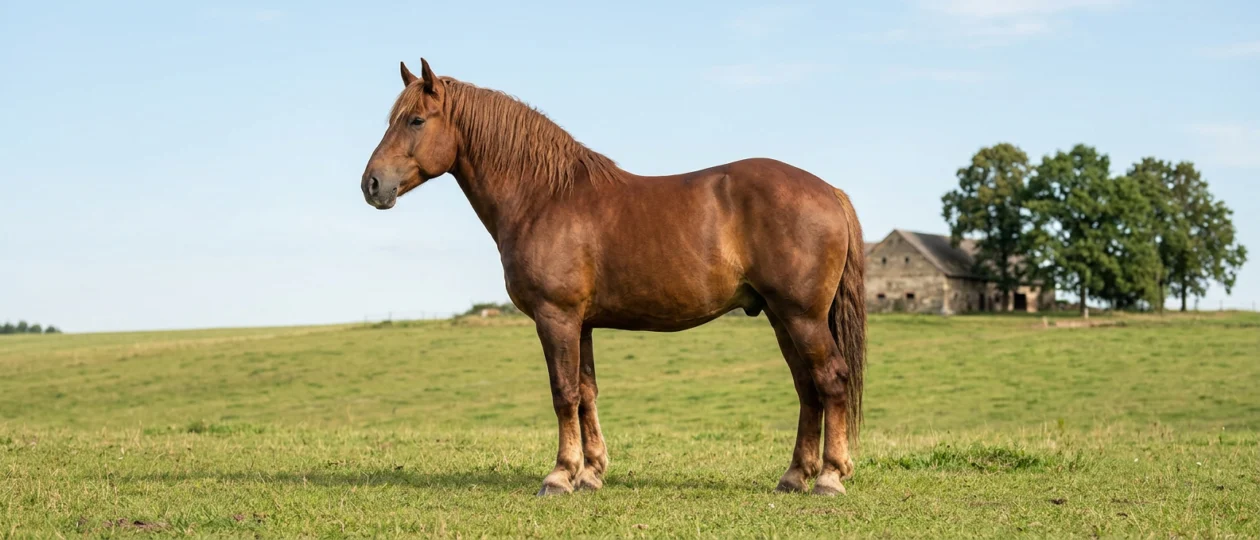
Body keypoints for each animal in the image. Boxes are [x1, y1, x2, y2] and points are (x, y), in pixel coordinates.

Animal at [360, 58, 867, 497]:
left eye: (416, 121)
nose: (372, 185)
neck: (544, 197)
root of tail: (829, 190)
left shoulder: (556, 317)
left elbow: (563, 393)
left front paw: (559, 476)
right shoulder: (581, 323)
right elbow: (586, 392)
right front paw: (590, 474)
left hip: (801, 316)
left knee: (831, 380)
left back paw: (829, 477)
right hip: (782, 317)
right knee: (807, 388)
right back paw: (795, 476)